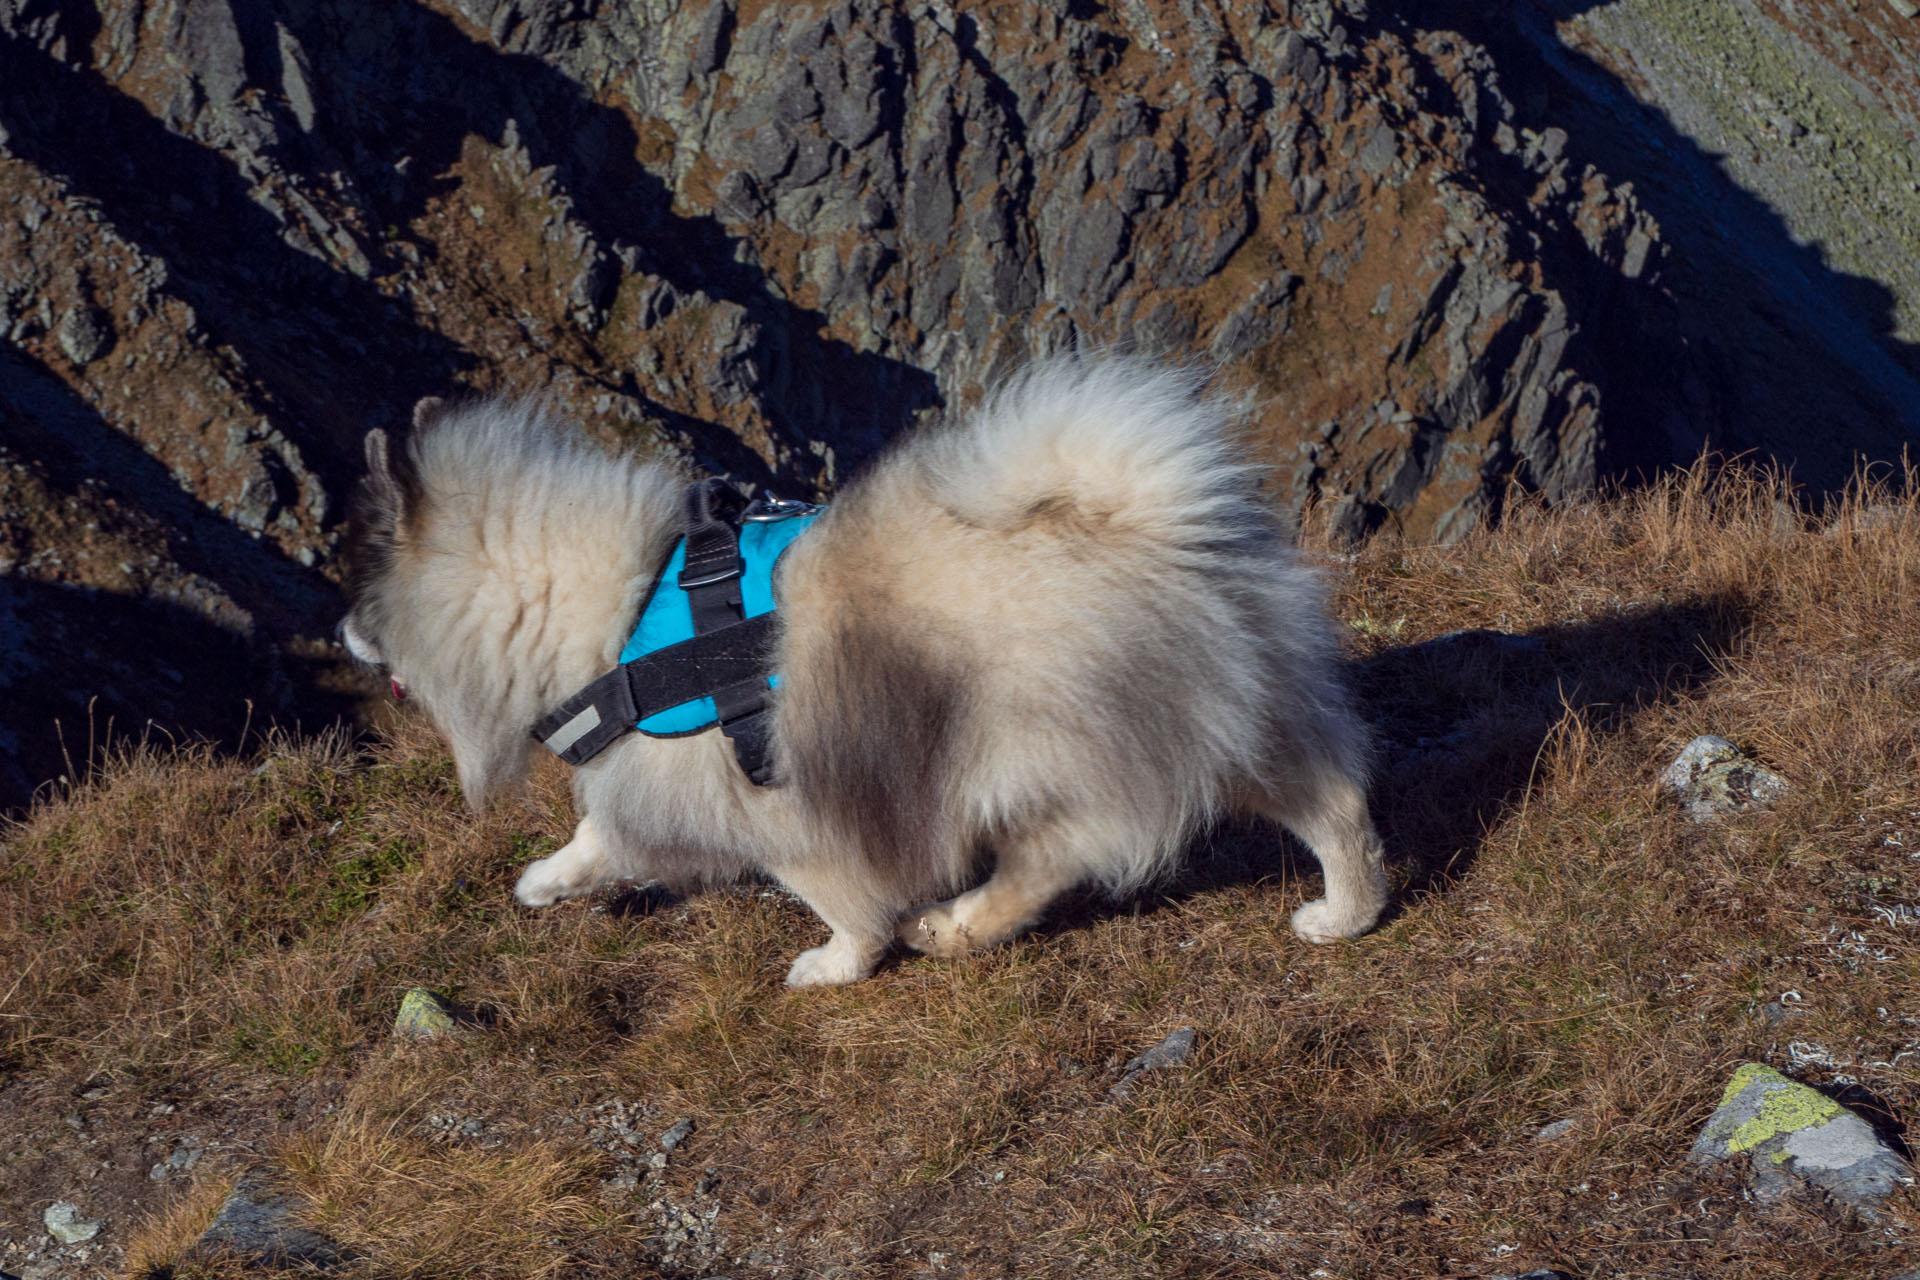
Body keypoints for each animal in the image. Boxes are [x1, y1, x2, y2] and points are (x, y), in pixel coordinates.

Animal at [345, 360, 1390, 990]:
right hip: (1247, 717)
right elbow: (594, 838)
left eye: (367, 594)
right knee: (1335, 803)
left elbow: (839, 901)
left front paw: (836, 966)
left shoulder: (785, 808)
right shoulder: (653, 783)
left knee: (1051, 861)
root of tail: (1143, 519)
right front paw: (545, 884)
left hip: (1028, 750)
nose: (344, 631)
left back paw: (956, 926)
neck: (618, 608)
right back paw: (1347, 915)